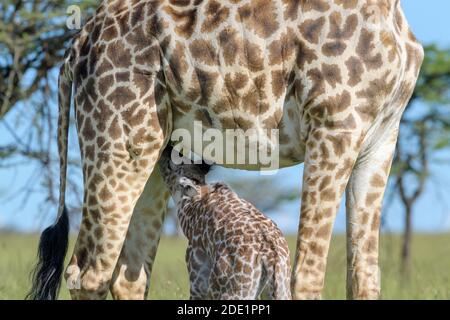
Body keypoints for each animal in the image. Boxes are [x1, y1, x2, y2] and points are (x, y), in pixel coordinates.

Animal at [158, 148, 292, 300]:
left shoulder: (197, 276)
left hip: (232, 292)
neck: (190, 205)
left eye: (172, 163)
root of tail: (270, 256)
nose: (166, 148)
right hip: (280, 290)